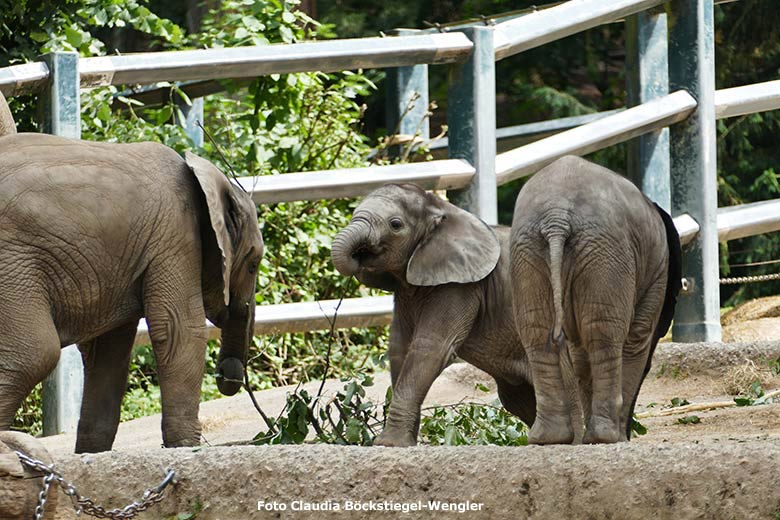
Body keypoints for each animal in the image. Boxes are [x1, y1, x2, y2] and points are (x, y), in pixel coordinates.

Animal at [0, 131, 264, 456]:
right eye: (253, 265)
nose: (226, 374)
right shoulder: (175, 237)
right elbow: (179, 330)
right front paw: (186, 449)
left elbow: (109, 352)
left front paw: (92, 455)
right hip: (12, 264)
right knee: (36, 353)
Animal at [332, 154, 680, 446]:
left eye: (395, 225)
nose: (361, 256)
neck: (441, 209)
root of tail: (557, 220)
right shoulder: (408, 289)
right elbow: (399, 350)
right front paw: (398, 443)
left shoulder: (460, 288)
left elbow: (431, 348)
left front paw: (389, 445)